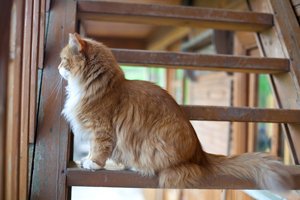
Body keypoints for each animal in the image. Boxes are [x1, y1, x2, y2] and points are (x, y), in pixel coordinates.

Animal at [58, 33, 292, 191]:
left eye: (64, 60)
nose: (58, 67)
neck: (98, 86)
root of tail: (200, 154)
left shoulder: (101, 129)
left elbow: (98, 150)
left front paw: (92, 164)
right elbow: (91, 148)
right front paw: (85, 159)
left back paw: (137, 167)